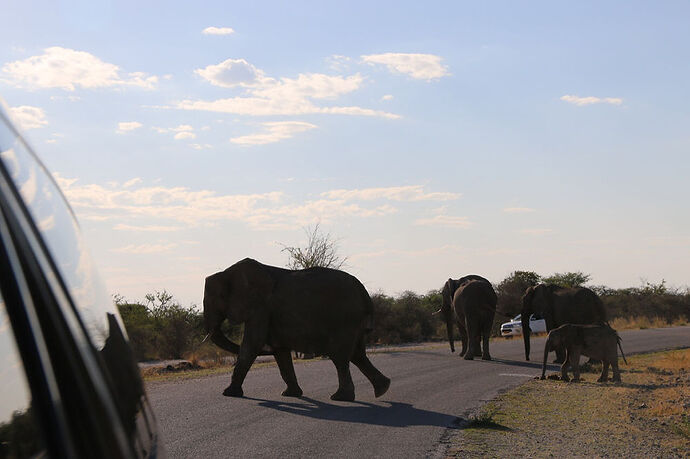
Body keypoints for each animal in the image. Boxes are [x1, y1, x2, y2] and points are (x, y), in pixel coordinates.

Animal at [202, 258, 390, 402]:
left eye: (218, 298)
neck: (228, 272)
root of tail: (364, 293)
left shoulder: (260, 307)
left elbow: (252, 344)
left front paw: (228, 394)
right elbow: (280, 351)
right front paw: (290, 395)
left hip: (345, 319)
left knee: (340, 356)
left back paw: (340, 397)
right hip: (354, 321)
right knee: (358, 355)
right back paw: (382, 389)